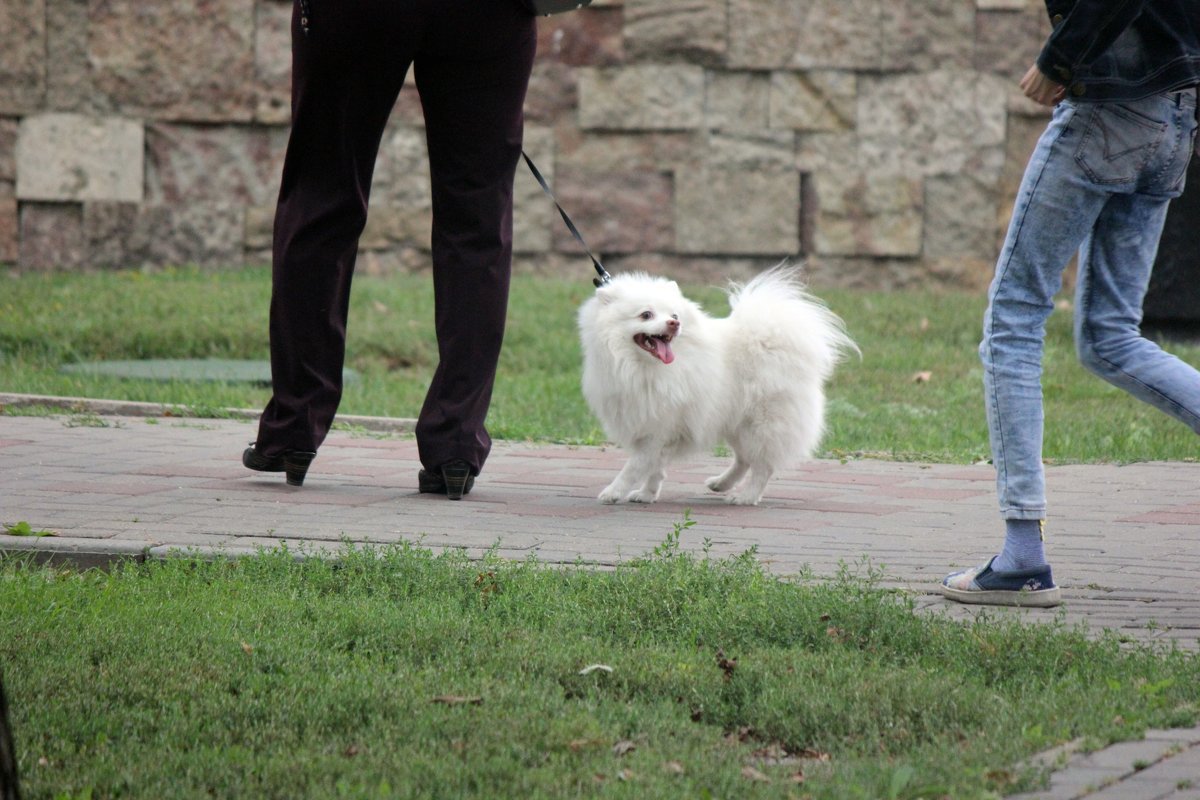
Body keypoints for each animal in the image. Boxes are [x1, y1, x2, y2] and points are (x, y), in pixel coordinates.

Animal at [578, 267, 854, 506]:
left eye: (674, 315)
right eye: (646, 314)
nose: (674, 324)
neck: (642, 367)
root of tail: (774, 337)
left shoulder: (660, 426)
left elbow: (636, 465)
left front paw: (614, 492)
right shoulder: (657, 427)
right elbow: (655, 467)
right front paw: (647, 494)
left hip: (763, 422)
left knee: (763, 465)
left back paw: (745, 496)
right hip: (736, 422)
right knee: (744, 460)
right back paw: (721, 484)